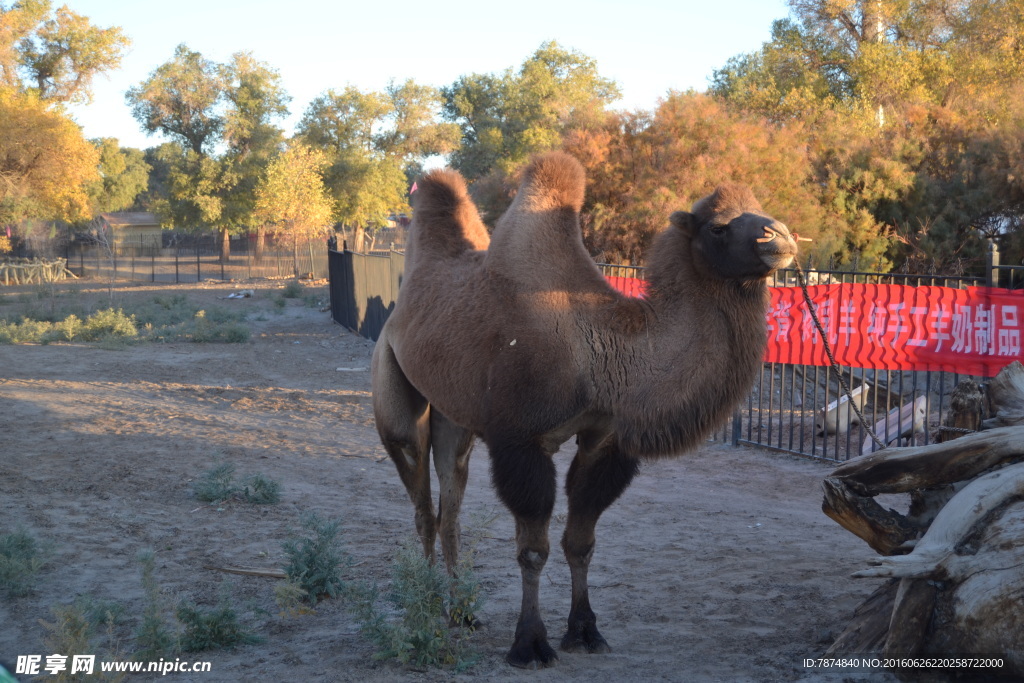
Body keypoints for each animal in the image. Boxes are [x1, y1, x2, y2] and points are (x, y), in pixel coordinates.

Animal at [370, 150, 798, 667]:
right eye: (718, 227)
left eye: (761, 208)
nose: (779, 235)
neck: (600, 353)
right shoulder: (522, 440)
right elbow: (533, 549)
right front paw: (530, 644)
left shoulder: (604, 439)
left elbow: (581, 542)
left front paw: (585, 631)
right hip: (396, 393)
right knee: (420, 499)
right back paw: (429, 605)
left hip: (456, 417)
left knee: (449, 504)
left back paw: (461, 612)